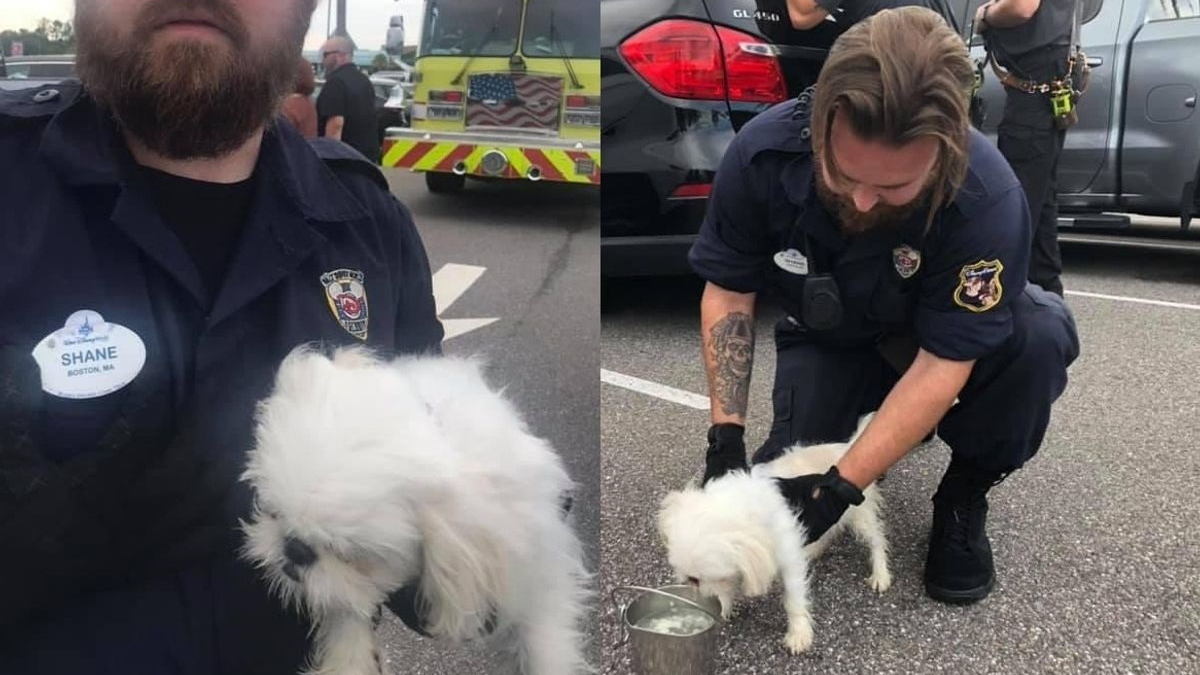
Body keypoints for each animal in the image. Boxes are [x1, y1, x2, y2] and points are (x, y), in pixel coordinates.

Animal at [237, 343, 590, 667]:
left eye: (352, 556)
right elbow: (347, 617)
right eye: (272, 513)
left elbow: (543, 643)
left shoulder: (536, 570)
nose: (294, 550)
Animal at [657, 410, 892, 653]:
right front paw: (726, 607)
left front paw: (799, 635)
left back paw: (880, 575)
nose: (706, 602)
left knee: (877, 540)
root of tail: (846, 446)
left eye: (696, 579)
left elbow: (793, 600)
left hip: (860, 516)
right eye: (690, 580)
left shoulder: (789, 561)